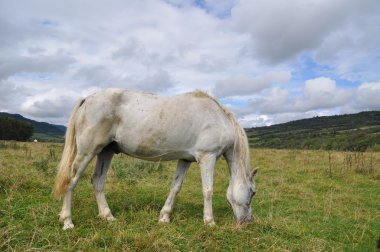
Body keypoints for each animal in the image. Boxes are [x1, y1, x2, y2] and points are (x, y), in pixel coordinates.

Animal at [54, 88, 258, 230]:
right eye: (253, 192)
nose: (247, 222)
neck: (219, 120)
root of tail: (87, 98)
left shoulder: (185, 160)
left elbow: (175, 187)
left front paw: (164, 217)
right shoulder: (207, 157)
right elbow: (208, 191)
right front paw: (209, 222)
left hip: (106, 152)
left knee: (97, 181)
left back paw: (108, 216)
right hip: (87, 152)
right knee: (71, 181)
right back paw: (68, 222)